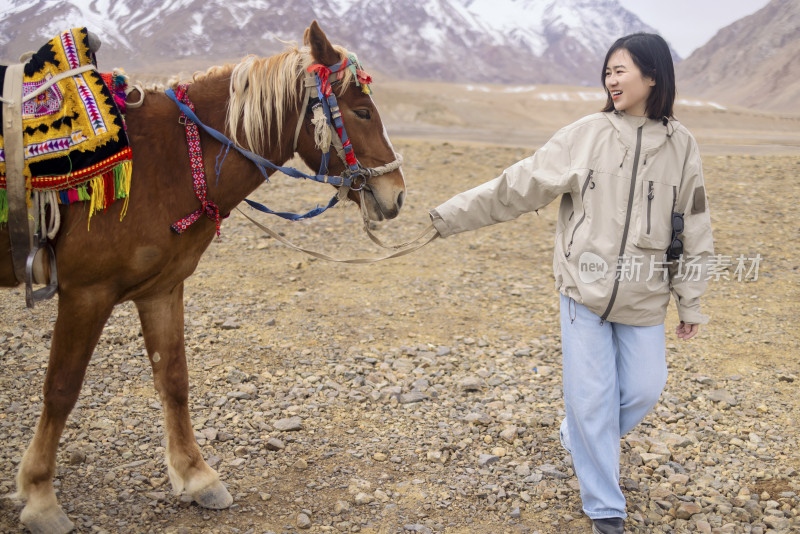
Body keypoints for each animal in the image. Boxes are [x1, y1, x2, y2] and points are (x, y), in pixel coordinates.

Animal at [0, 21, 400, 534]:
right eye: (363, 111)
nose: (397, 194)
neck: (164, 160)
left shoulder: (163, 288)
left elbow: (173, 380)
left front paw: (197, 476)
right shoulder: (86, 292)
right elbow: (61, 389)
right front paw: (40, 498)